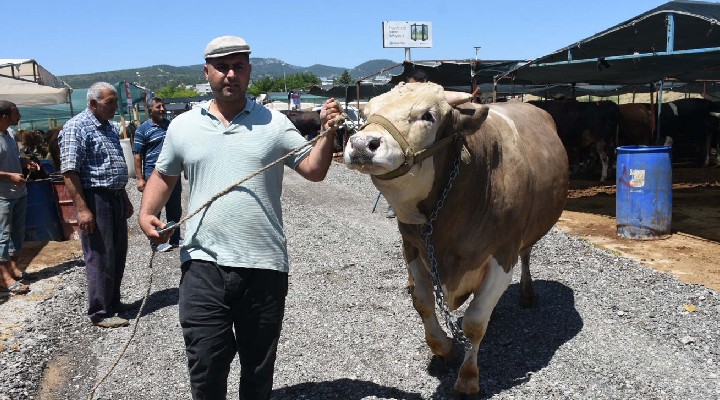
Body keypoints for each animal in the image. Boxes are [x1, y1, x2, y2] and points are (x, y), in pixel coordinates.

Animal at [344, 82, 568, 396]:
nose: (363, 144)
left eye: (428, 115)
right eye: (365, 114)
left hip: (527, 235)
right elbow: (423, 303)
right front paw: (445, 349)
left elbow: (475, 321)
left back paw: (527, 293)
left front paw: (468, 378)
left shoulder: (503, 254)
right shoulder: (413, 247)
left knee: (526, 254)